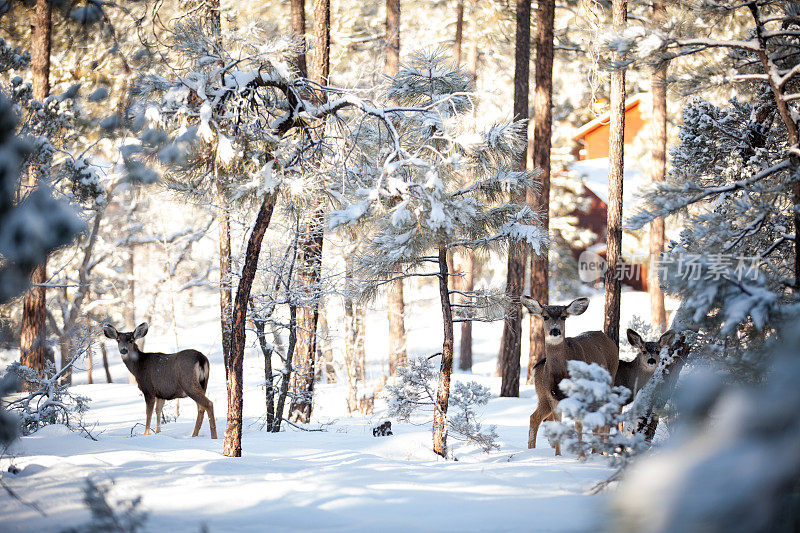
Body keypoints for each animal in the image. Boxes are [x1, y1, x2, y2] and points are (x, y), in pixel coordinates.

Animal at [520, 296, 620, 454]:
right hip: (543, 396)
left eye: (563, 317)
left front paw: (580, 455)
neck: (560, 374)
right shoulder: (552, 395)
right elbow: (558, 425)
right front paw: (558, 455)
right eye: (545, 316)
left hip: (609, 380)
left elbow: (578, 425)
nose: (555, 330)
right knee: (535, 417)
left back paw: (600, 451)